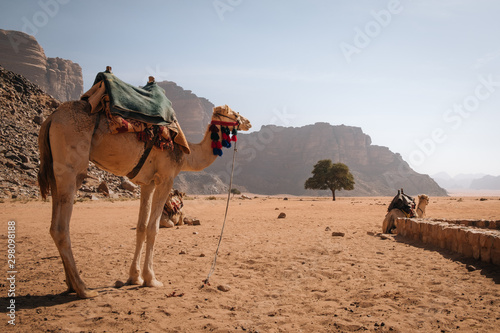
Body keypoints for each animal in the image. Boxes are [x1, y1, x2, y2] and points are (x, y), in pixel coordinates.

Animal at [36, 99, 250, 298]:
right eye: (234, 113)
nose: (248, 122)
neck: (187, 153)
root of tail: (51, 119)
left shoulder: (148, 183)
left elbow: (140, 227)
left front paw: (134, 277)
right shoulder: (166, 178)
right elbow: (153, 228)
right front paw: (151, 279)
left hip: (56, 171)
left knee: (55, 225)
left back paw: (71, 285)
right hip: (71, 168)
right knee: (61, 228)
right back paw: (83, 289)